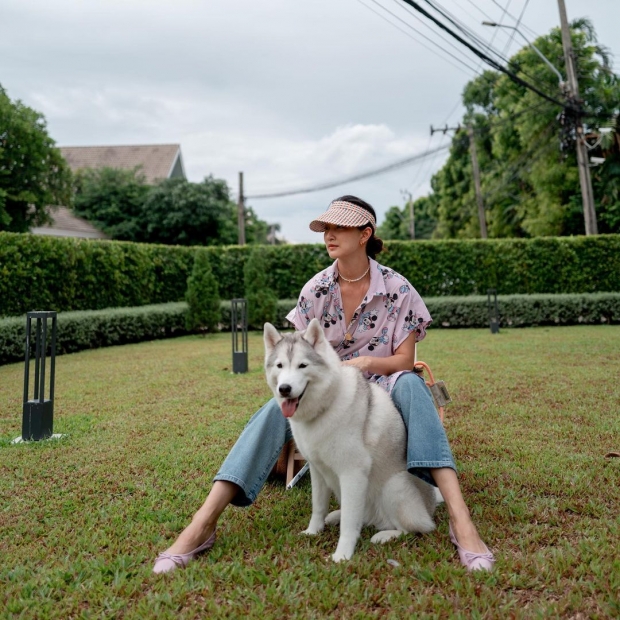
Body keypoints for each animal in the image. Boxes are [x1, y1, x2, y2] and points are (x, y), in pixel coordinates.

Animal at [262, 320, 436, 560]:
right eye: (279, 366)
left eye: (302, 365)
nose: (284, 389)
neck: (325, 407)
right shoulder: (317, 470)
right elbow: (318, 507)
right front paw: (312, 532)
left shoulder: (352, 473)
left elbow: (349, 524)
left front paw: (342, 556)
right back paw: (336, 516)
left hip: (394, 487)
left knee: (416, 528)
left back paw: (385, 535)